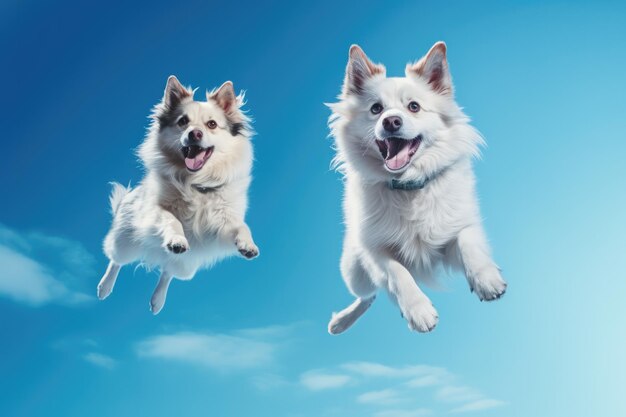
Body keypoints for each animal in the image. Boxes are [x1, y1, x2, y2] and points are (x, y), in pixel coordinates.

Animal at [96, 76, 258, 314]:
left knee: (168, 271)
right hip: (125, 243)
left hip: (186, 266)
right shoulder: (154, 212)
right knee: (116, 261)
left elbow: (241, 227)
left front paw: (248, 245)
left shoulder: (221, 223)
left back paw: (157, 300)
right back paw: (105, 287)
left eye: (211, 124)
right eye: (183, 121)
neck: (195, 182)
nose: (194, 133)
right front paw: (177, 238)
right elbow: (172, 219)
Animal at [324, 42, 504, 334]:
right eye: (376, 109)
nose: (391, 121)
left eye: (414, 107)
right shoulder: (374, 252)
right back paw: (342, 320)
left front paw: (487, 279)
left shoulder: (458, 226)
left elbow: (468, 242)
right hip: (353, 271)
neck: (408, 186)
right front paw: (418, 310)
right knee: (368, 295)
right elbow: (398, 273)